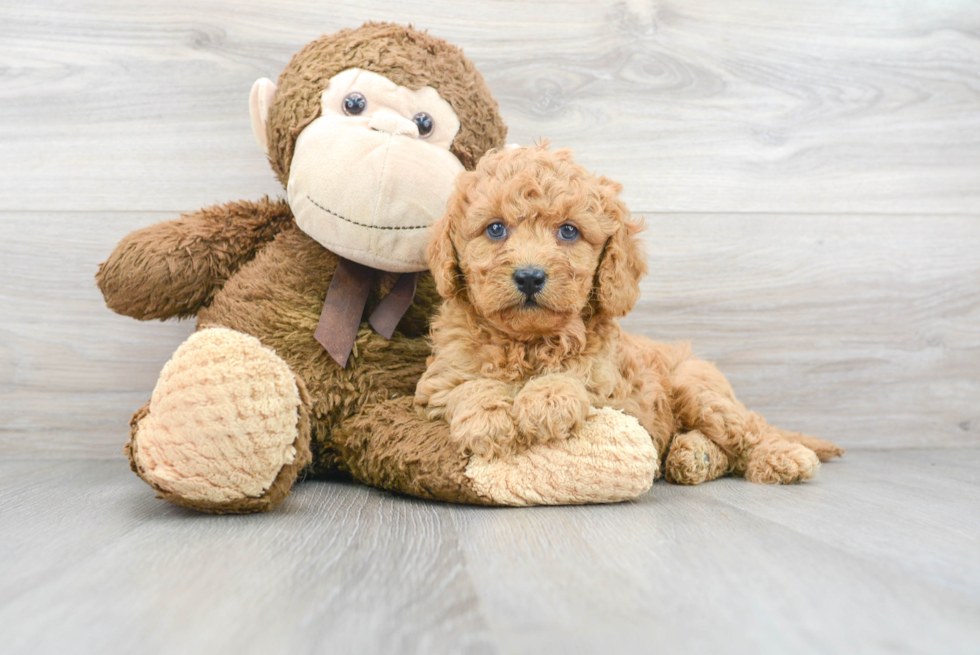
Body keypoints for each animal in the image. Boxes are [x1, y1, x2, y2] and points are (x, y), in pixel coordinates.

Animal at [414, 147, 844, 486]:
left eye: (568, 231)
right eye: (495, 229)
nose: (530, 276)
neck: (528, 343)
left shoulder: (614, 389)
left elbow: (577, 374)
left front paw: (547, 399)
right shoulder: (439, 380)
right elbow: (467, 386)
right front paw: (488, 420)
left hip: (697, 388)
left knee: (748, 432)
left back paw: (781, 456)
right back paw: (694, 456)